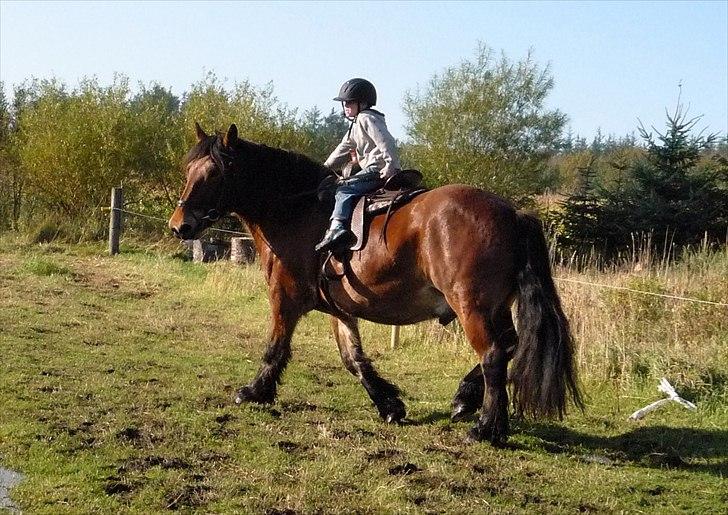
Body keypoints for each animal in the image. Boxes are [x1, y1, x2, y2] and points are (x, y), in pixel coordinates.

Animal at [168, 123, 584, 446]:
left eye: (214, 174)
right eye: (190, 170)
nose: (179, 225)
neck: (297, 210)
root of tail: (511, 213)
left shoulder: (285, 298)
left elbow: (276, 348)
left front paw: (256, 392)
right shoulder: (339, 309)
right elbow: (353, 359)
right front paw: (389, 405)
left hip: (473, 307)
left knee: (494, 356)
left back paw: (487, 428)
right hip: (494, 308)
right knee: (510, 345)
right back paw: (465, 398)